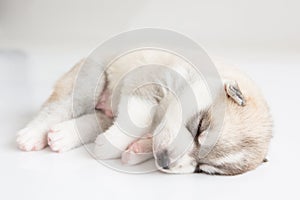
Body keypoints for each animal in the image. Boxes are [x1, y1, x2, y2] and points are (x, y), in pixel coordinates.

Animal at [17, 49, 274, 175]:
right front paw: (111, 146)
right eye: (200, 127)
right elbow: (140, 119)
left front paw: (136, 150)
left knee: (93, 121)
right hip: (88, 83)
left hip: (102, 112)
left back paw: (62, 136)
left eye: (203, 169)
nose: (165, 163)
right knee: (55, 109)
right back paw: (31, 136)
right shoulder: (148, 82)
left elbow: (151, 136)